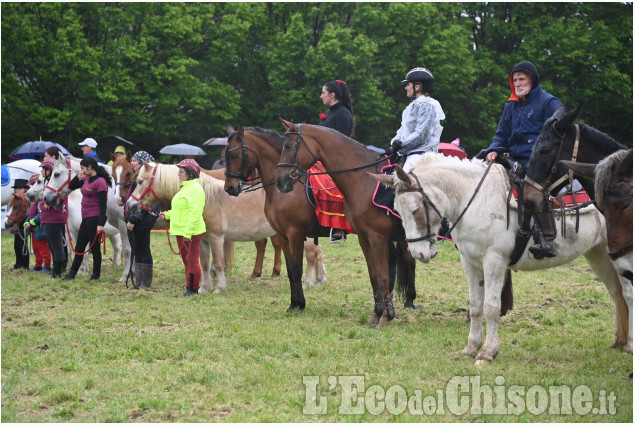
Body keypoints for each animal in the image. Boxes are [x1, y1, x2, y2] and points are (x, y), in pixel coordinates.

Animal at [224, 124, 418, 326]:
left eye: (234, 155)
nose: (229, 187)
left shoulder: (295, 234)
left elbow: (297, 269)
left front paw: (299, 304)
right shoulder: (284, 236)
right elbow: (290, 270)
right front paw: (293, 304)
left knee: (408, 261)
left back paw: (409, 301)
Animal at [376, 153, 628, 364]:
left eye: (416, 208)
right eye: (397, 209)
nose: (418, 253)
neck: (476, 200)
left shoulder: (494, 262)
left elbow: (491, 307)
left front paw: (488, 352)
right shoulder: (470, 263)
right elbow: (475, 305)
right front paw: (471, 348)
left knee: (627, 293)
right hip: (598, 255)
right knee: (617, 293)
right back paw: (619, 341)